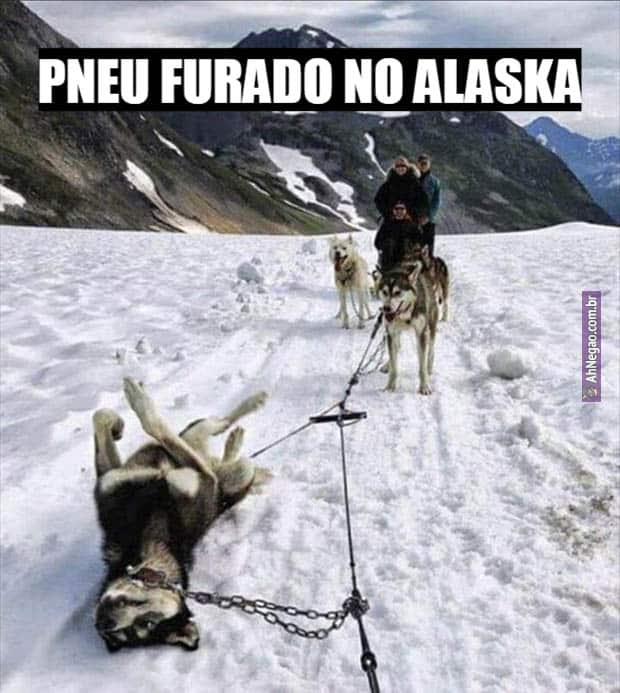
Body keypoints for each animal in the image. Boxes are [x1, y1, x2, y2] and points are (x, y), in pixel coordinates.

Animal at [92, 377, 267, 652]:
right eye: (124, 634)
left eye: (147, 623)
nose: (105, 622)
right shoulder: (112, 479)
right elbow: (100, 417)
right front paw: (117, 424)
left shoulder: (201, 478)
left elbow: (153, 423)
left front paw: (133, 402)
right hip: (209, 451)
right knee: (215, 435)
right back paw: (234, 440)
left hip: (232, 468)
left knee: (217, 428)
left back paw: (251, 407)